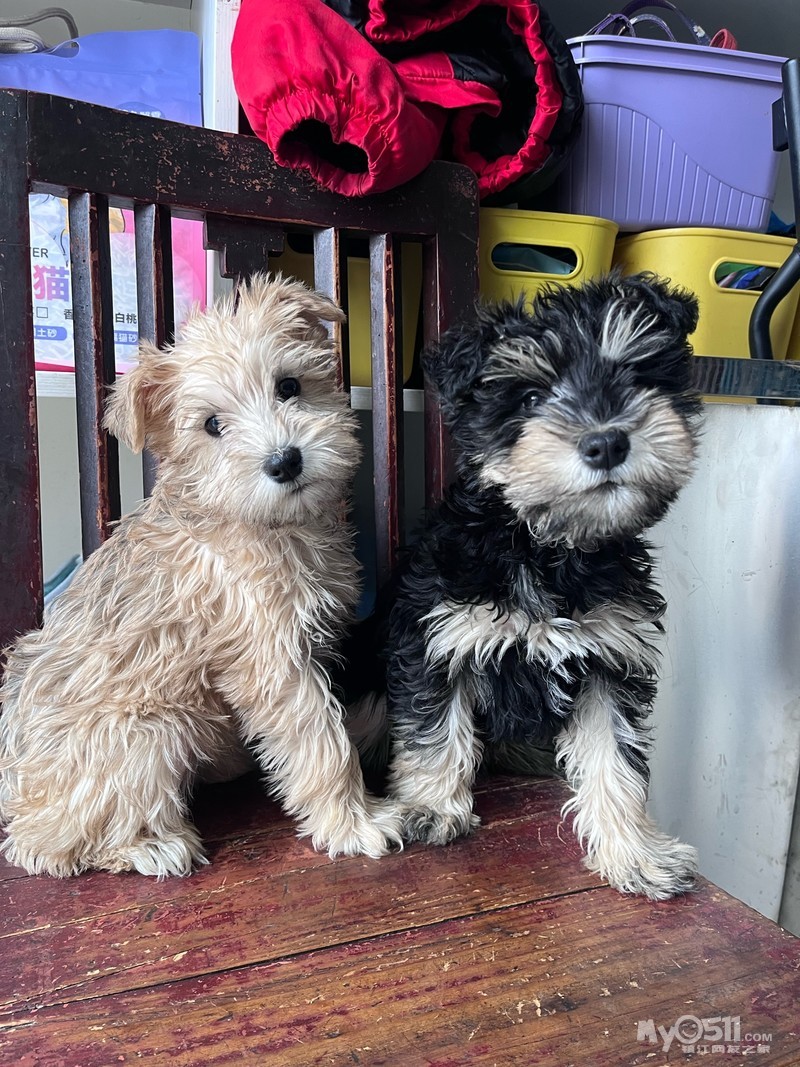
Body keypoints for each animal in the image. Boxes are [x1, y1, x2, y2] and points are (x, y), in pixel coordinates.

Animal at [0, 274, 402, 877]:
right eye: (213, 425)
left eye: (289, 386)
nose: (284, 461)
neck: (258, 522)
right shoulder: (273, 662)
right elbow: (320, 742)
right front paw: (354, 823)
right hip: (149, 729)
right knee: (43, 844)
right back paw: (150, 845)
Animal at [381, 272, 703, 900]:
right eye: (530, 399)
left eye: (635, 376)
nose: (607, 442)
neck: (548, 547)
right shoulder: (439, 639)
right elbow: (434, 728)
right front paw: (431, 808)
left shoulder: (611, 661)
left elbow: (614, 760)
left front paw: (636, 854)